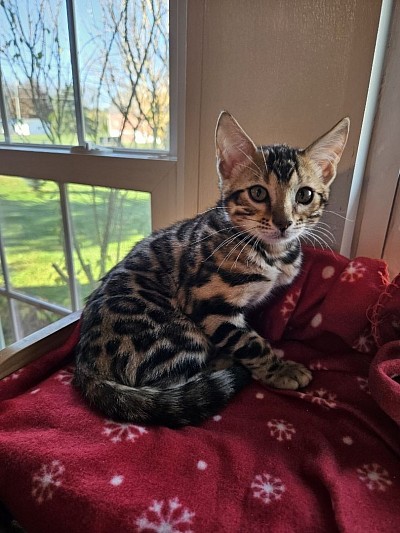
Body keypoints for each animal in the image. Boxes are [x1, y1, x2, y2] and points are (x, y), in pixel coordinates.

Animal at [73, 112, 348, 428]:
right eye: (257, 192)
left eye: (305, 195)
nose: (284, 223)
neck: (270, 254)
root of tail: (85, 366)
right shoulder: (209, 305)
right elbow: (251, 342)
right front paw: (280, 370)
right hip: (177, 334)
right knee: (169, 387)